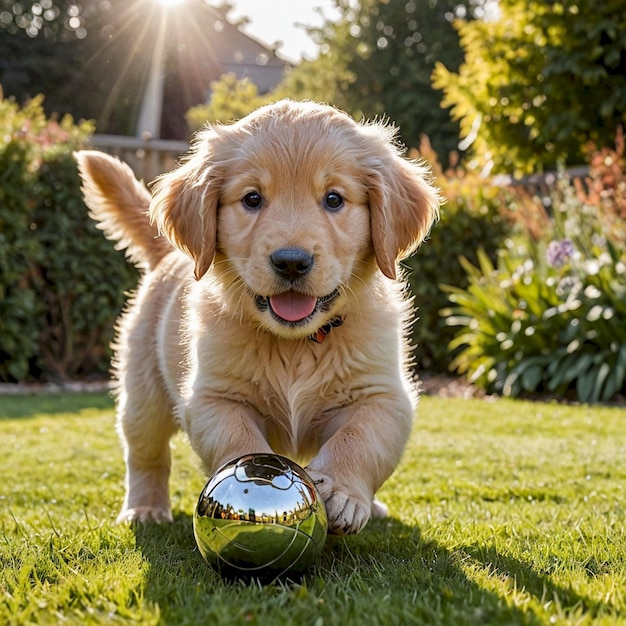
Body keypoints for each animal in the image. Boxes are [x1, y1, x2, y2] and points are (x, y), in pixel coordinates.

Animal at [75, 98, 438, 532]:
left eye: (334, 199)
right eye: (251, 199)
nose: (292, 262)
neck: (297, 343)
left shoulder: (381, 394)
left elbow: (359, 439)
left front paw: (342, 492)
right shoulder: (213, 397)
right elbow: (238, 440)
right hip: (143, 391)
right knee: (145, 453)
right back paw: (145, 508)